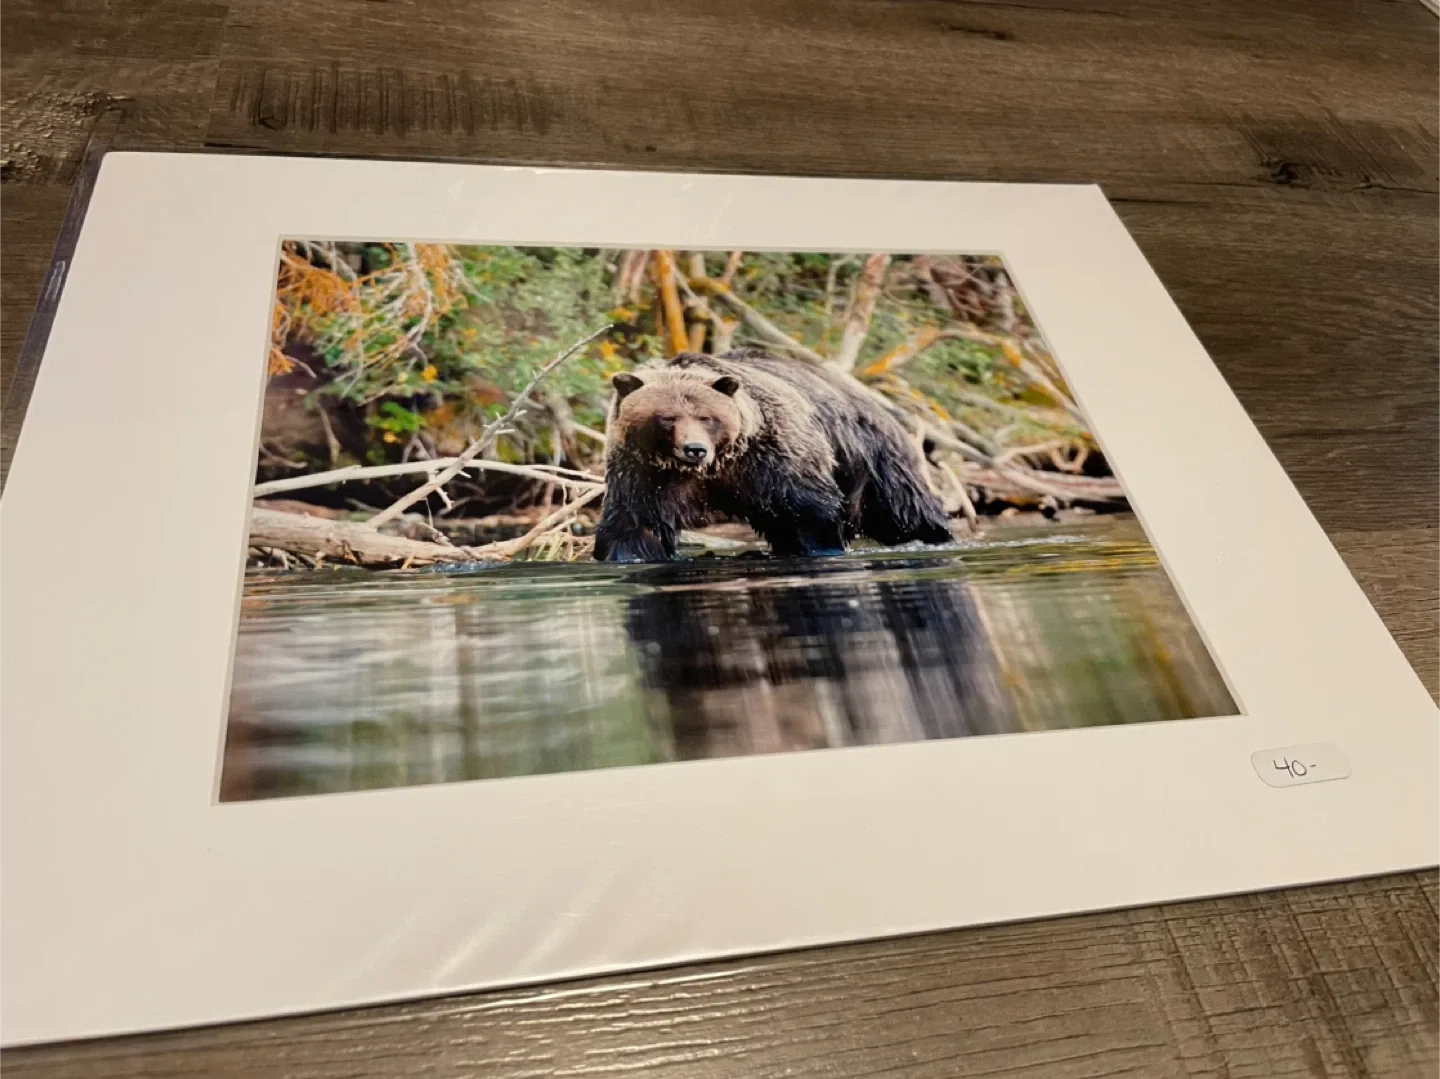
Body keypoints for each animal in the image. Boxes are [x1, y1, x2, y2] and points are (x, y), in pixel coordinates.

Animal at [593, 349, 953, 562]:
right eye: (667, 417)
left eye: (706, 417)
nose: (695, 449)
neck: (716, 467)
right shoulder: (645, 473)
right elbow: (637, 524)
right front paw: (625, 553)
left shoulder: (772, 458)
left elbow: (809, 511)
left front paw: (822, 547)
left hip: (873, 457)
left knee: (905, 509)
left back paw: (935, 536)